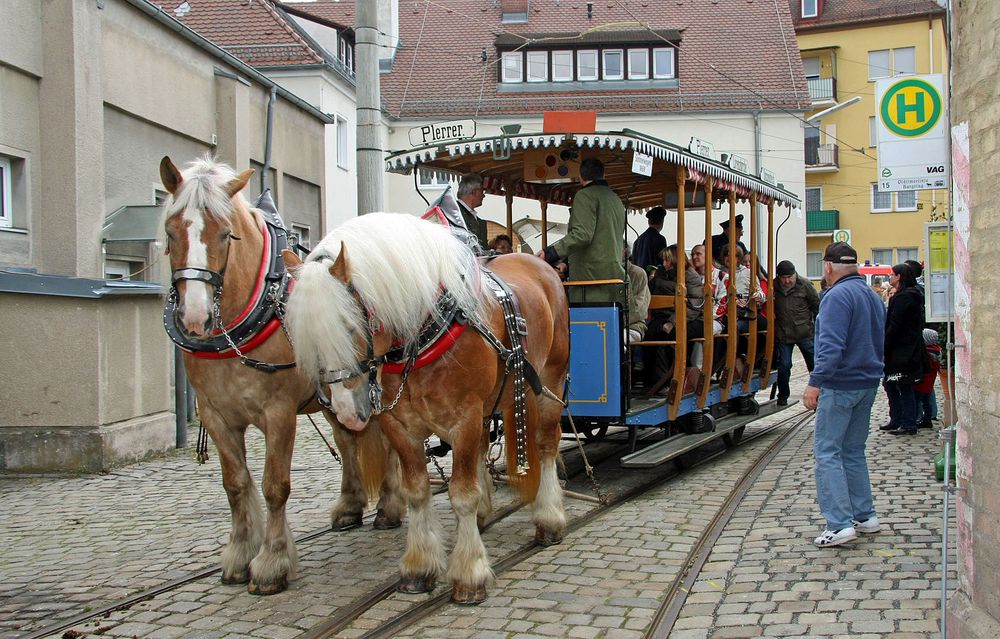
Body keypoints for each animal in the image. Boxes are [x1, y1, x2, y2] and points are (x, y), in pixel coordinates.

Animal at [160, 156, 402, 596]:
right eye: (171, 233)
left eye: (226, 234)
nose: (194, 318)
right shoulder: (216, 415)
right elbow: (235, 484)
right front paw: (240, 555)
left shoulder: (279, 413)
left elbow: (275, 485)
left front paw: (271, 563)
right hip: (336, 397)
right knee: (347, 439)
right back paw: (350, 505)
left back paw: (391, 507)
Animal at [286, 212, 576, 604]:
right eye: (305, 338)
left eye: (349, 325)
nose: (346, 413)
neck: (425, 333)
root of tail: (540, 266)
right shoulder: (399, 425)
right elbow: (417, 491)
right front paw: (419, 567)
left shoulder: (463, 419)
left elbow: (462, 494)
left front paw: (469, 573)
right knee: (483, 448)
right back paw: (485, 516)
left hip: (548, 383)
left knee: (545, 445)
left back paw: (549, 519)